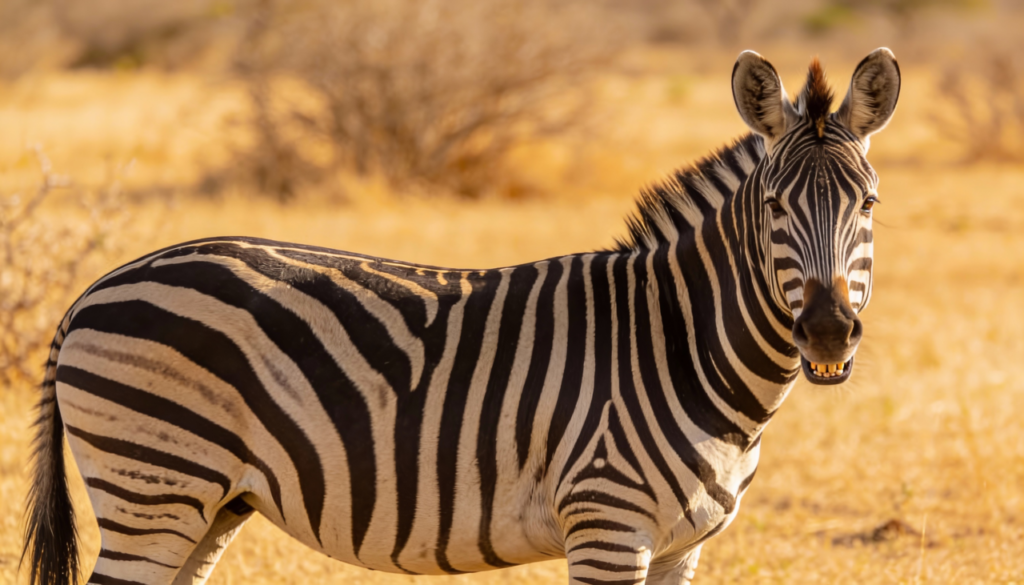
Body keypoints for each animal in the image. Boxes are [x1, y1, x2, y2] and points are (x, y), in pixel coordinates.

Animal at [22, 48, 899, 585]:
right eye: (775, 207)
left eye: (869, 205)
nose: (827, 332)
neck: (679, 342)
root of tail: (90, 291)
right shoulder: (607, 522)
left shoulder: (686, 547)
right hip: (153, 485)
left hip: (207, 502)